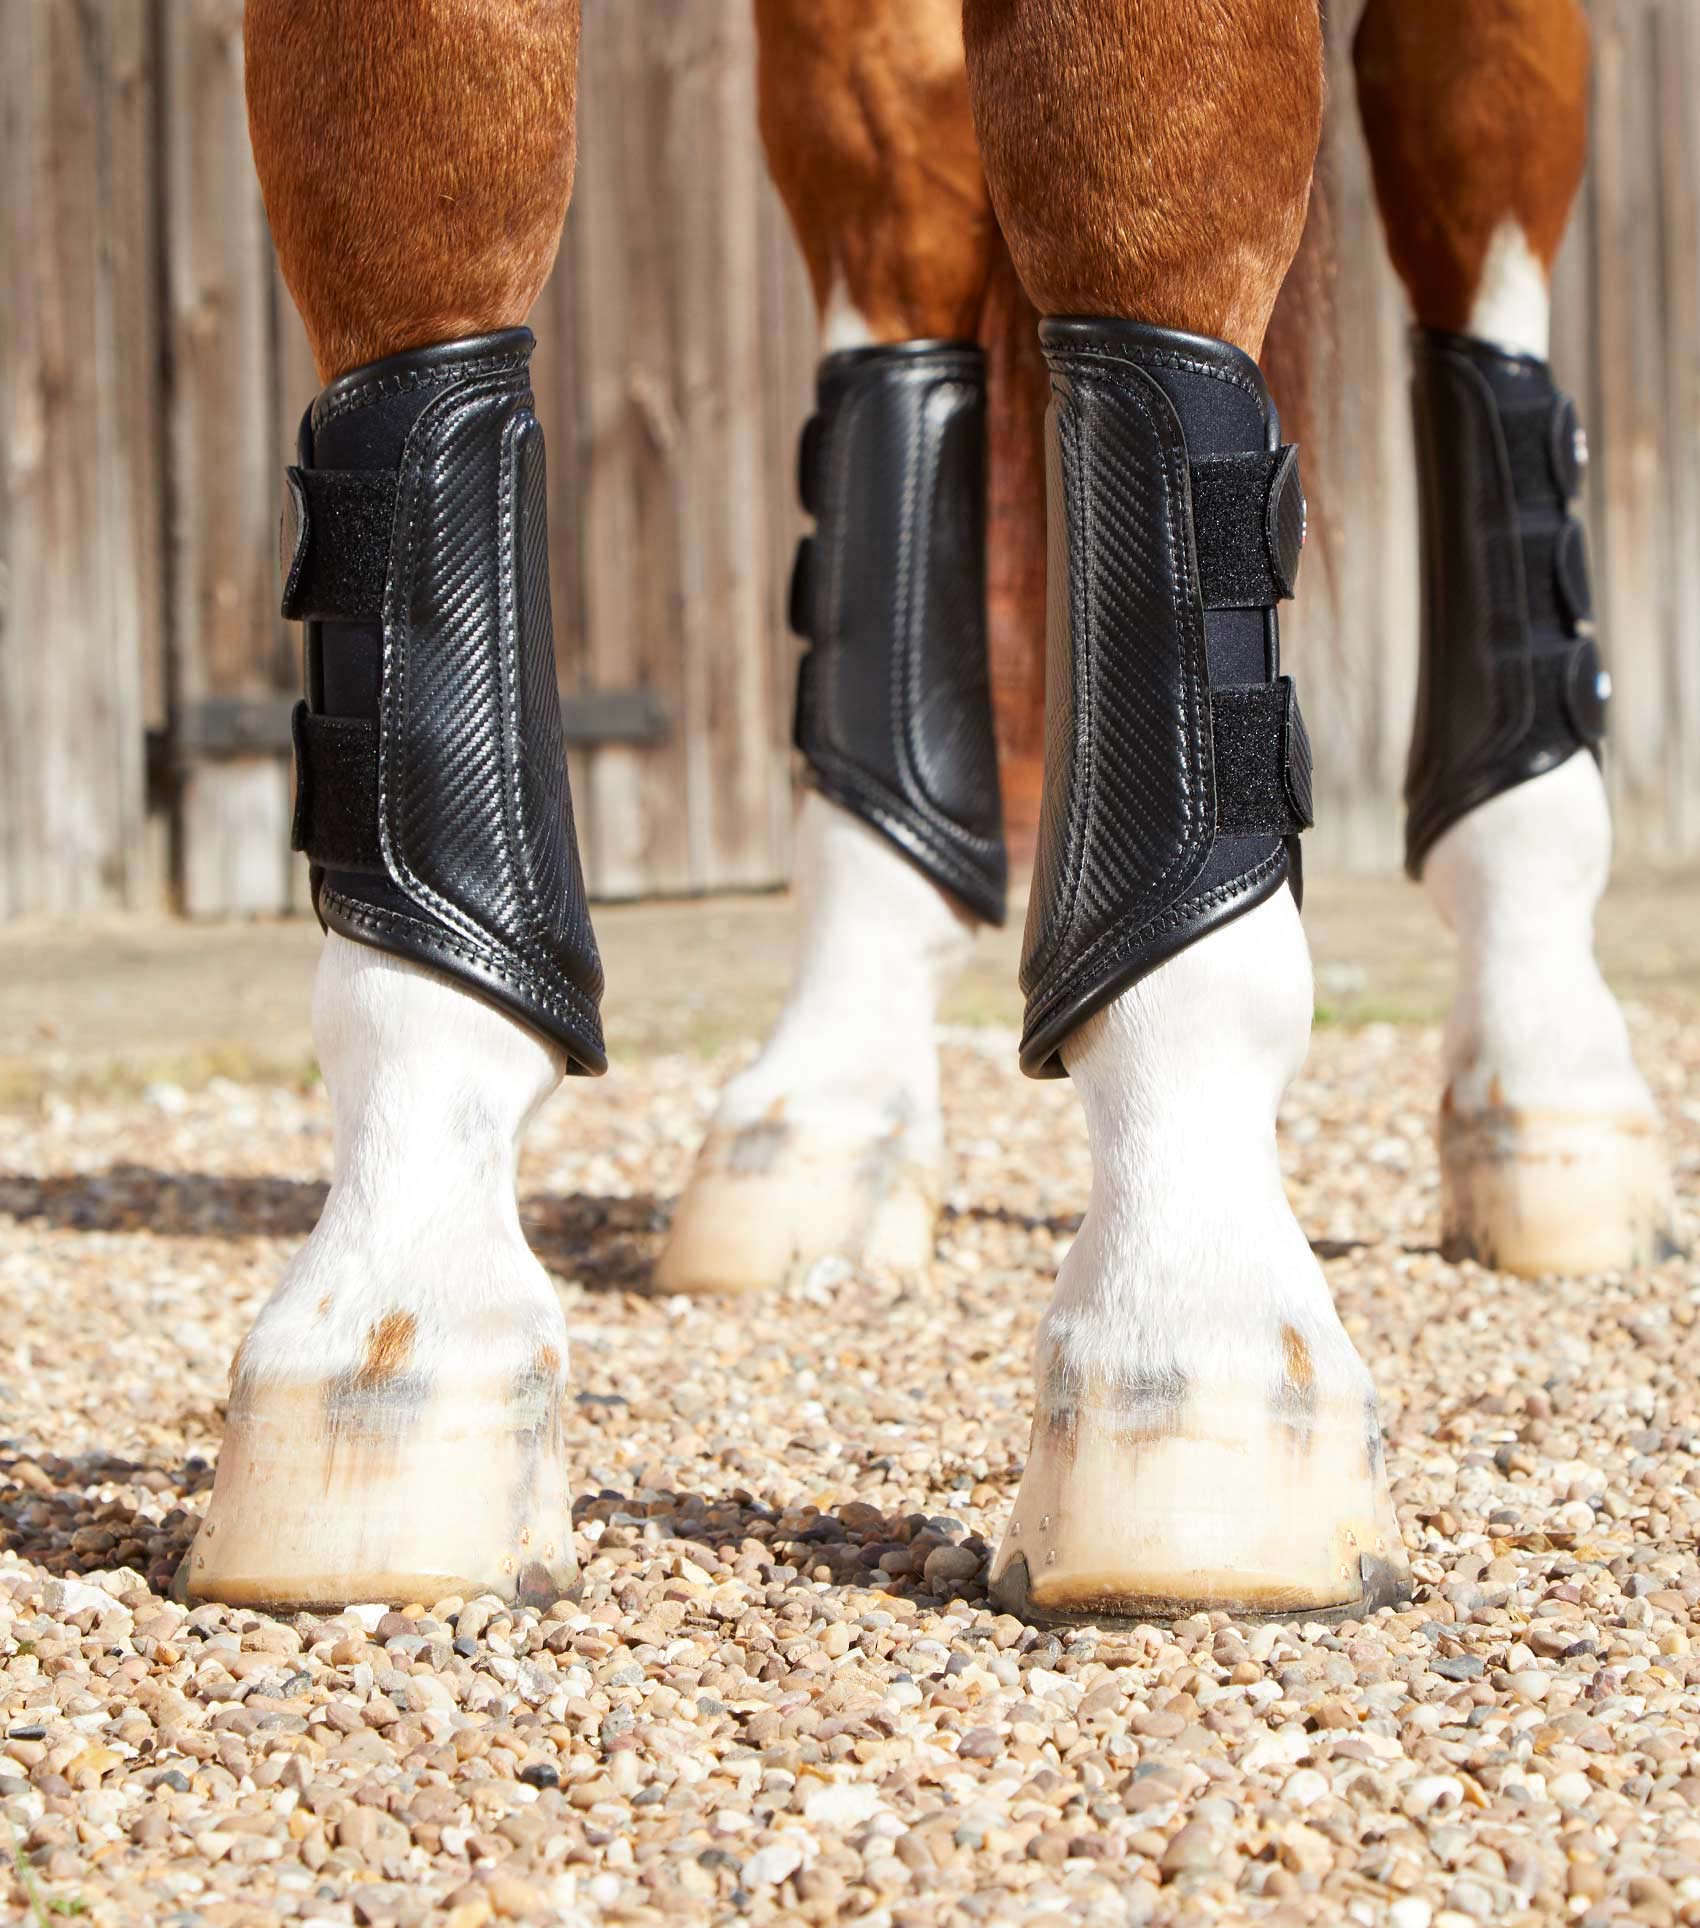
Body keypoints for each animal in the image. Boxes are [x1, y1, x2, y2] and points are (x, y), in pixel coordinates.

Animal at [177, 0, 1676, 1631]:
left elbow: (1152, 246)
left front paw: (1195, 1337)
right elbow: (419, 267)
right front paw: (392, 1326)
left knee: (1477, 253)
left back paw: (1555, 1092)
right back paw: (822, 1117)